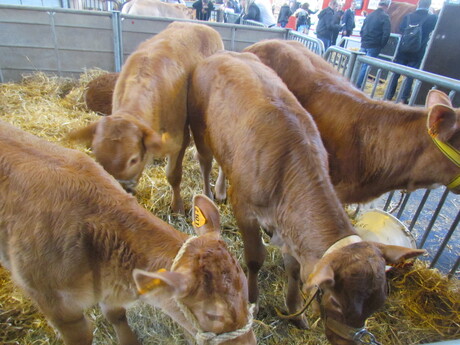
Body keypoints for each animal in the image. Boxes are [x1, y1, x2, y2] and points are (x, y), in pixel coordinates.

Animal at [69, 21, 224, 212]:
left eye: (133, 160)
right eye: (97, 156)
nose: (117, 189)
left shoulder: (179, 134)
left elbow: (174, 174)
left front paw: (177, 206)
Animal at [187, 51, 424, 344]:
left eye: (379, 303)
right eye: (336, 302)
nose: (350, 340)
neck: (288, 166)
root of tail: (223, 53)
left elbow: (294, 269)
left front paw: (295, 310)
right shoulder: (243, 207)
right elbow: (254, 258)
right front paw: (252, 299)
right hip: (199, 127)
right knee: (205, 161)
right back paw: (209, 194)